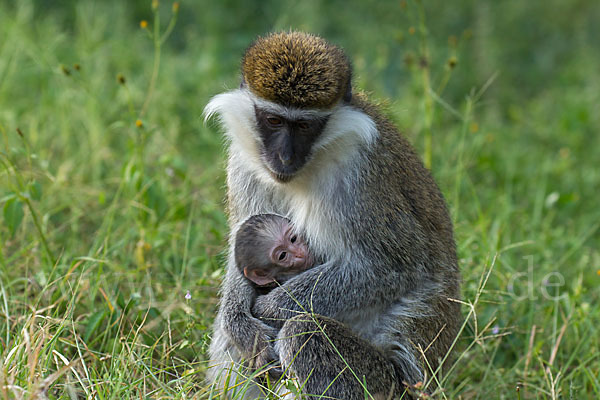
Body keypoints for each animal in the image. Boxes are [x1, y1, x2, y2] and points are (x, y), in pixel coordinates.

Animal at [204, 32, 462, 400]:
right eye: (274, 120)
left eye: (304, 125)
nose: (284, 157)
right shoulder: (243, 164)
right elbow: (241, 253)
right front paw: (241, 322)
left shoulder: (359, 176)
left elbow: (393, 268)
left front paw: (272, 307)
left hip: (387, 384)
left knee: (303, 332)